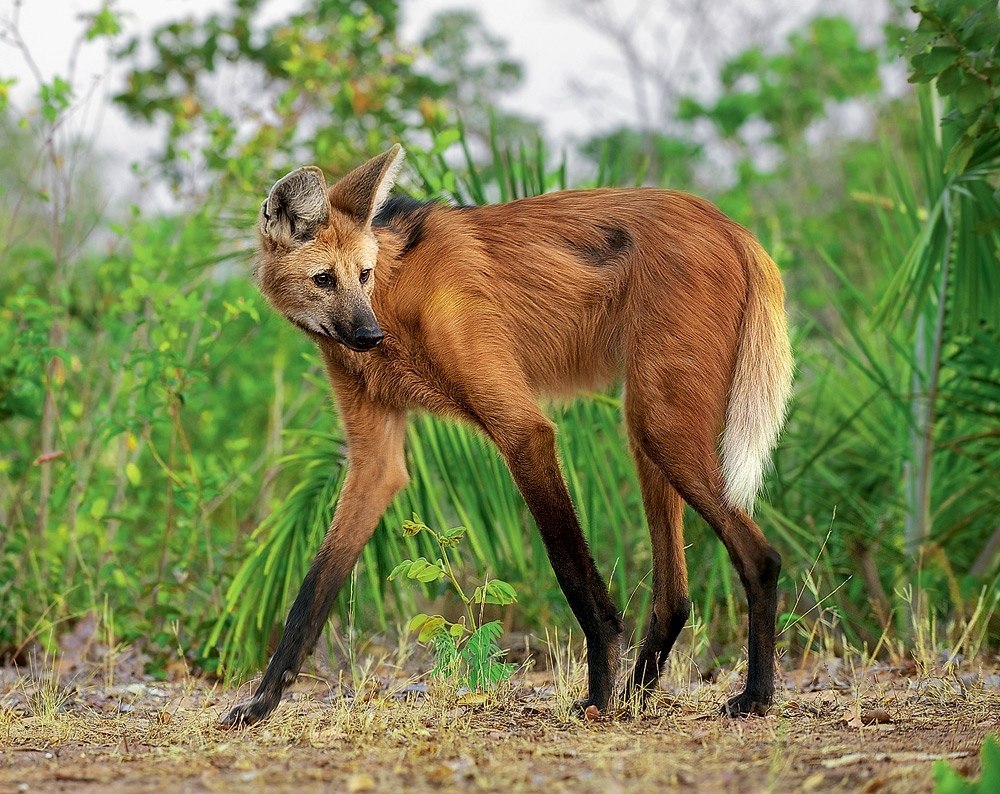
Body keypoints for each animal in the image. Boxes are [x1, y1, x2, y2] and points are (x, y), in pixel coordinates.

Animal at [223, 142, 792, 724]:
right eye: (324, 279)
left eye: (362, 275)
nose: (367, 334)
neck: (396, 299)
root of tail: (732, 226)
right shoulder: (374, 463)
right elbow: (312, 591)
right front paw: (261, 702)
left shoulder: (524, 430)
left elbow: (570, 569)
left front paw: (597, 694)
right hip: (647, 428)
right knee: (674, 594)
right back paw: (639, 695)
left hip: (661, 427)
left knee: (760, 558)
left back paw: (753, 696)